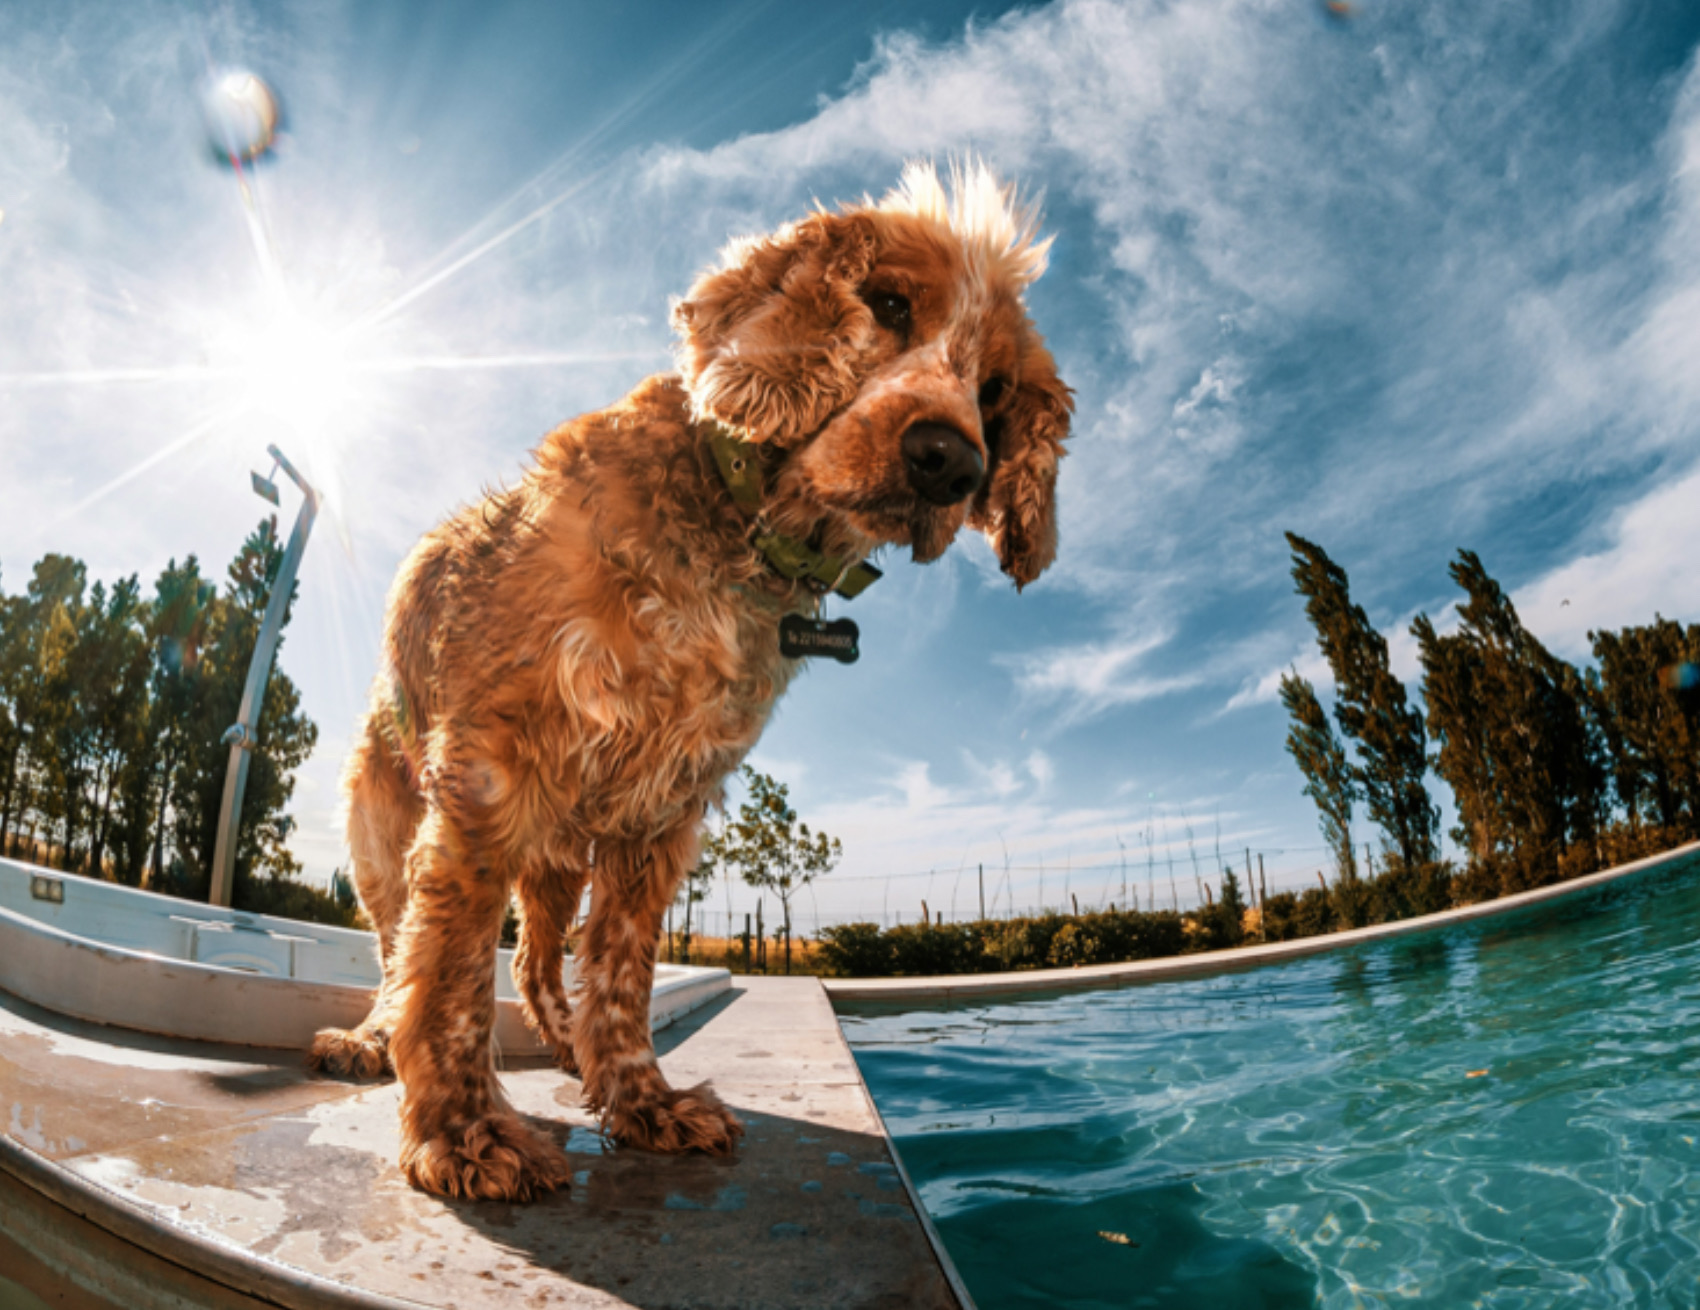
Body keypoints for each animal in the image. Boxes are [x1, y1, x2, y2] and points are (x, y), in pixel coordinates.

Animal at [312, 161, 1067, 1196]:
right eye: (887, 303)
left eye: (993, 390)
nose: (949, 460)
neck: (736, 535)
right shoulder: (489, 775)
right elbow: (453, 967)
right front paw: (465, 1131)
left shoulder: (661, 808)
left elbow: (621, 972)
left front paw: (640, 1102)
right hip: (384, 837)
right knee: (396, 956)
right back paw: (367, 1039)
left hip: (556, 861)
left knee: (539, 965)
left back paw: (566, 1049)